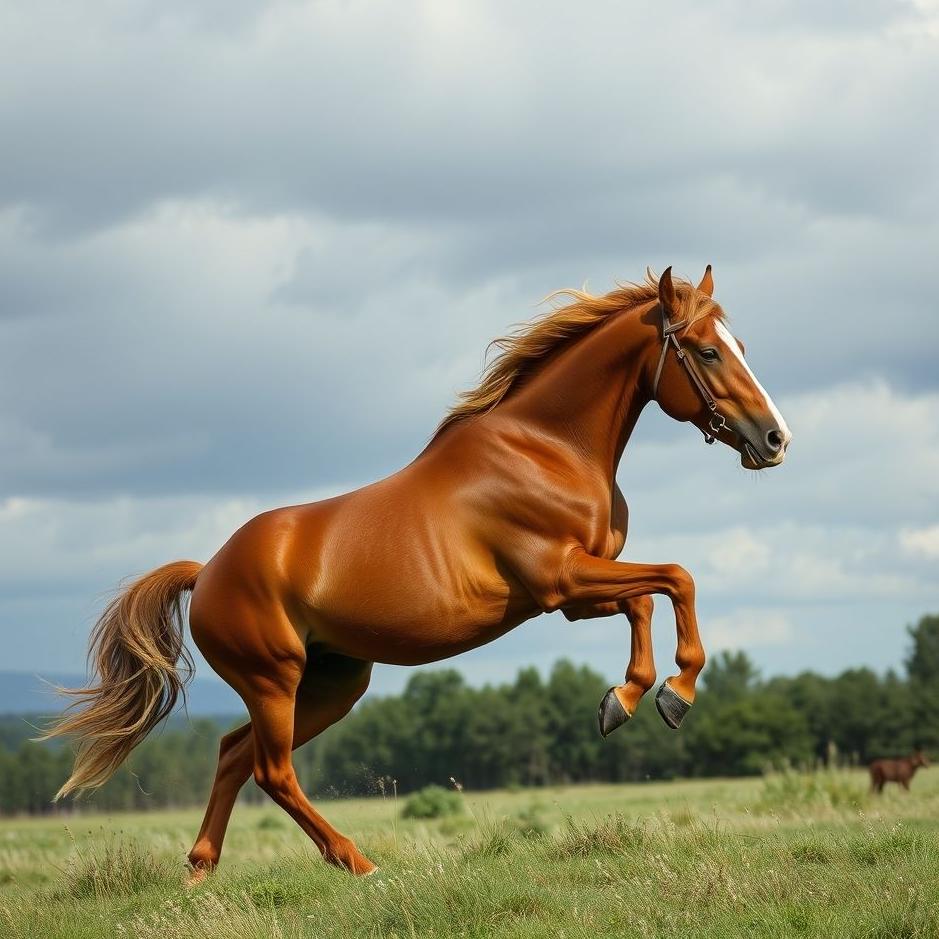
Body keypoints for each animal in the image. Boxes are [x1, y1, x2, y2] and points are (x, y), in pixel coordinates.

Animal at [44, 265, 791, 880]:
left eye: (741, 344)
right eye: (706, 350)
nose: (775, 439)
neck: (546, 448)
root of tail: (207, 572)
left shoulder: (575, 590)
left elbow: (647, 599)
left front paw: (626, 698)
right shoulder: (563, 578)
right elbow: (678, 576)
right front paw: (675, 694)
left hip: (332, 683)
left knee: (232, 754)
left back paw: (202, 872)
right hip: (274, 680)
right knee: (271, 769)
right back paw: (356, 861)